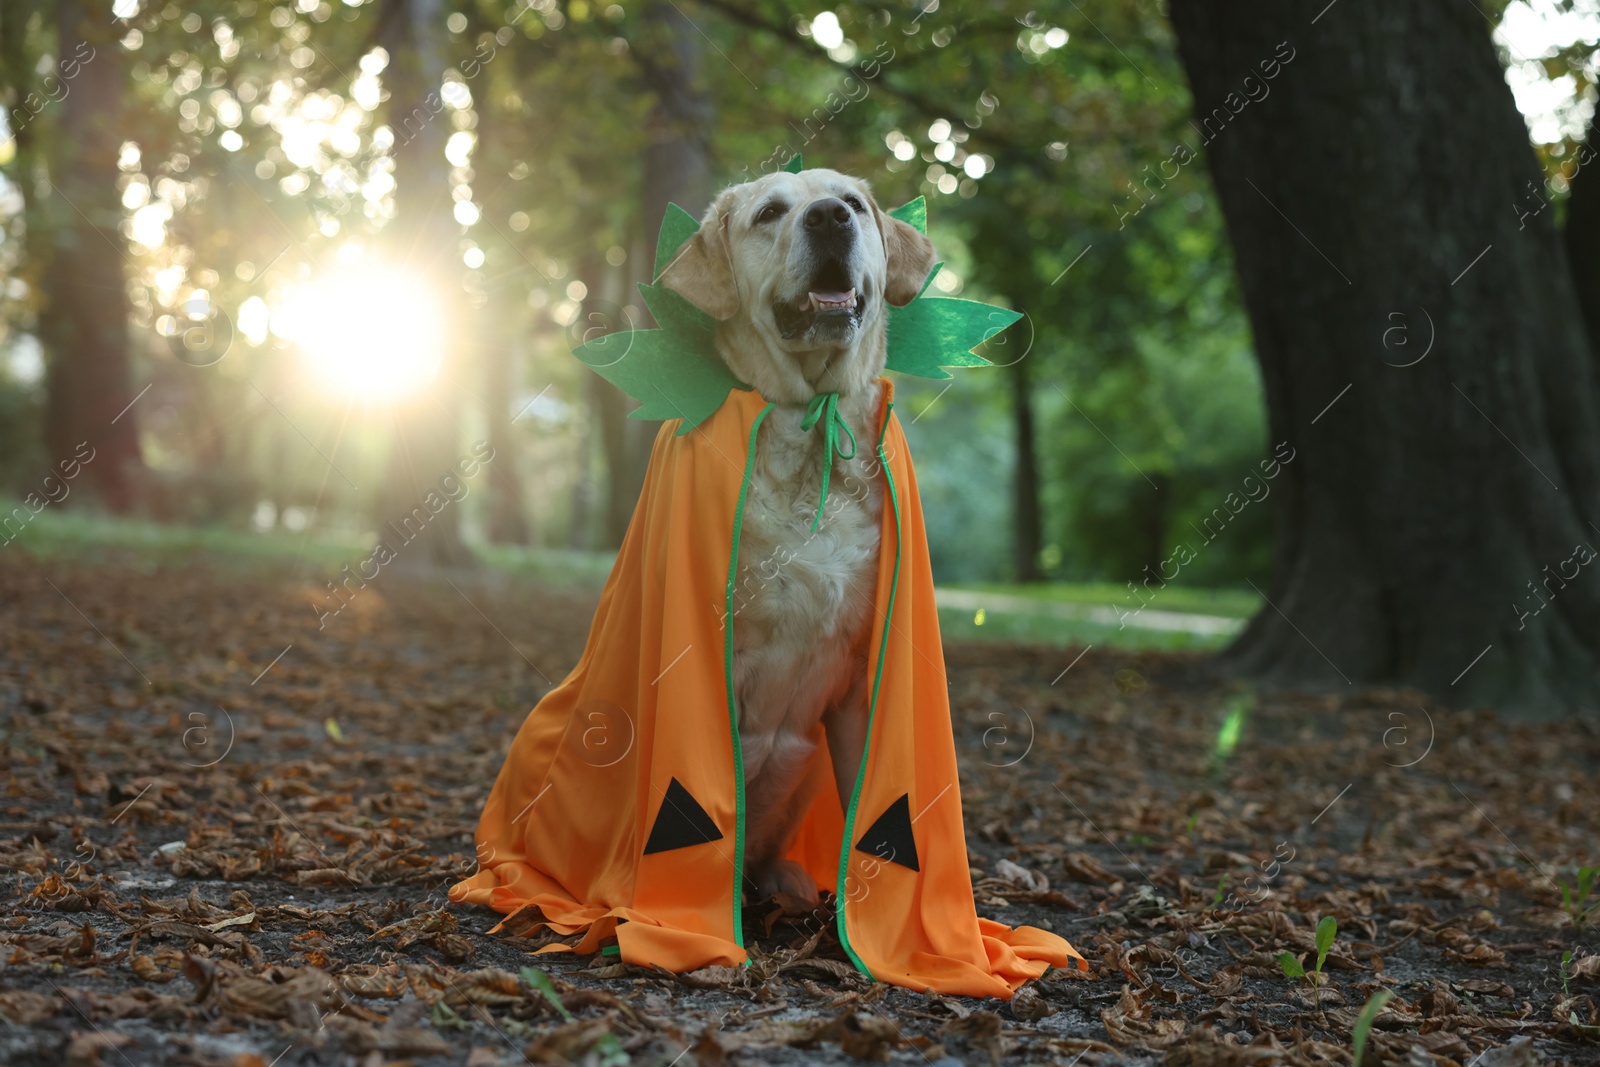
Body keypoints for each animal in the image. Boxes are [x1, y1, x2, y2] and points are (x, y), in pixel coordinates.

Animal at [659, 171, 934, 908]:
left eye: (856, 203)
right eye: (770, 213)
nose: (831, 217)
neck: (813, 422)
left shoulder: (863, 682)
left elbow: (873, 822)